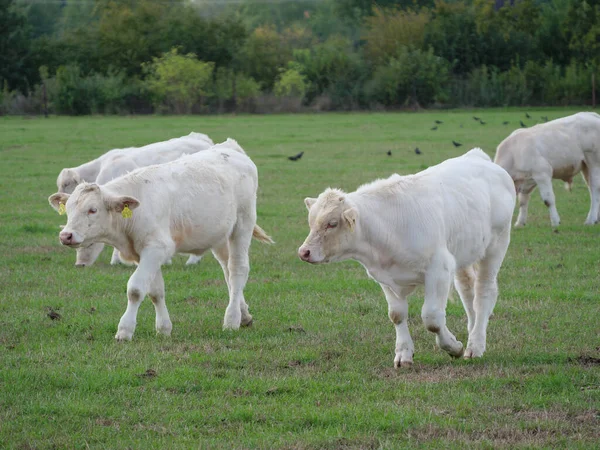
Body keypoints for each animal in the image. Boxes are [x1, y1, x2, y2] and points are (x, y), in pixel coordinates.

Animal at [298, 149, 512, 368]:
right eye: (311, 222)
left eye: (332, 224)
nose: (304, 252)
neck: (388, 227)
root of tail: (477, 156)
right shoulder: (384, 277)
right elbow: (397, 314)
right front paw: (403, 354)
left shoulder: (439, 269)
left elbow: (432, 318)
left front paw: (453, 347)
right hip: (465, 252)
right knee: (468, 291)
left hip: (496, 245)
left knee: (483, 293)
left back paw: (475, 345)